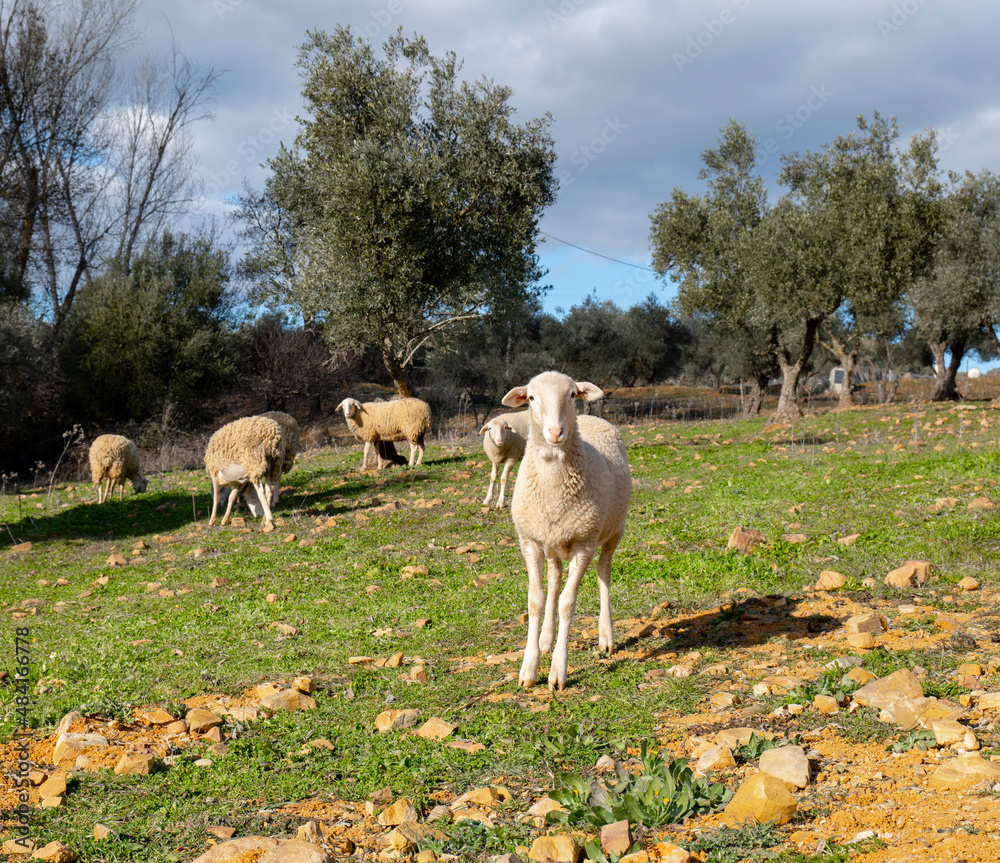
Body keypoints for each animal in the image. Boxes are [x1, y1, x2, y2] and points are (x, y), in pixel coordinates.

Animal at [500, 372, 632, 696]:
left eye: (572, 394)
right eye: (531, 397)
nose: (555, 431)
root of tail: (592, 417)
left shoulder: (584, 544)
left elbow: (567, 603)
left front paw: (558, 672)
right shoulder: (530, 542)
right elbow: (537, 599)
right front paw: (529, 667)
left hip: (612, 530)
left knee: (603, 572)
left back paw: (606, 636)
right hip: (555, 542)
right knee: (555, 579)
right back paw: (546, 638)